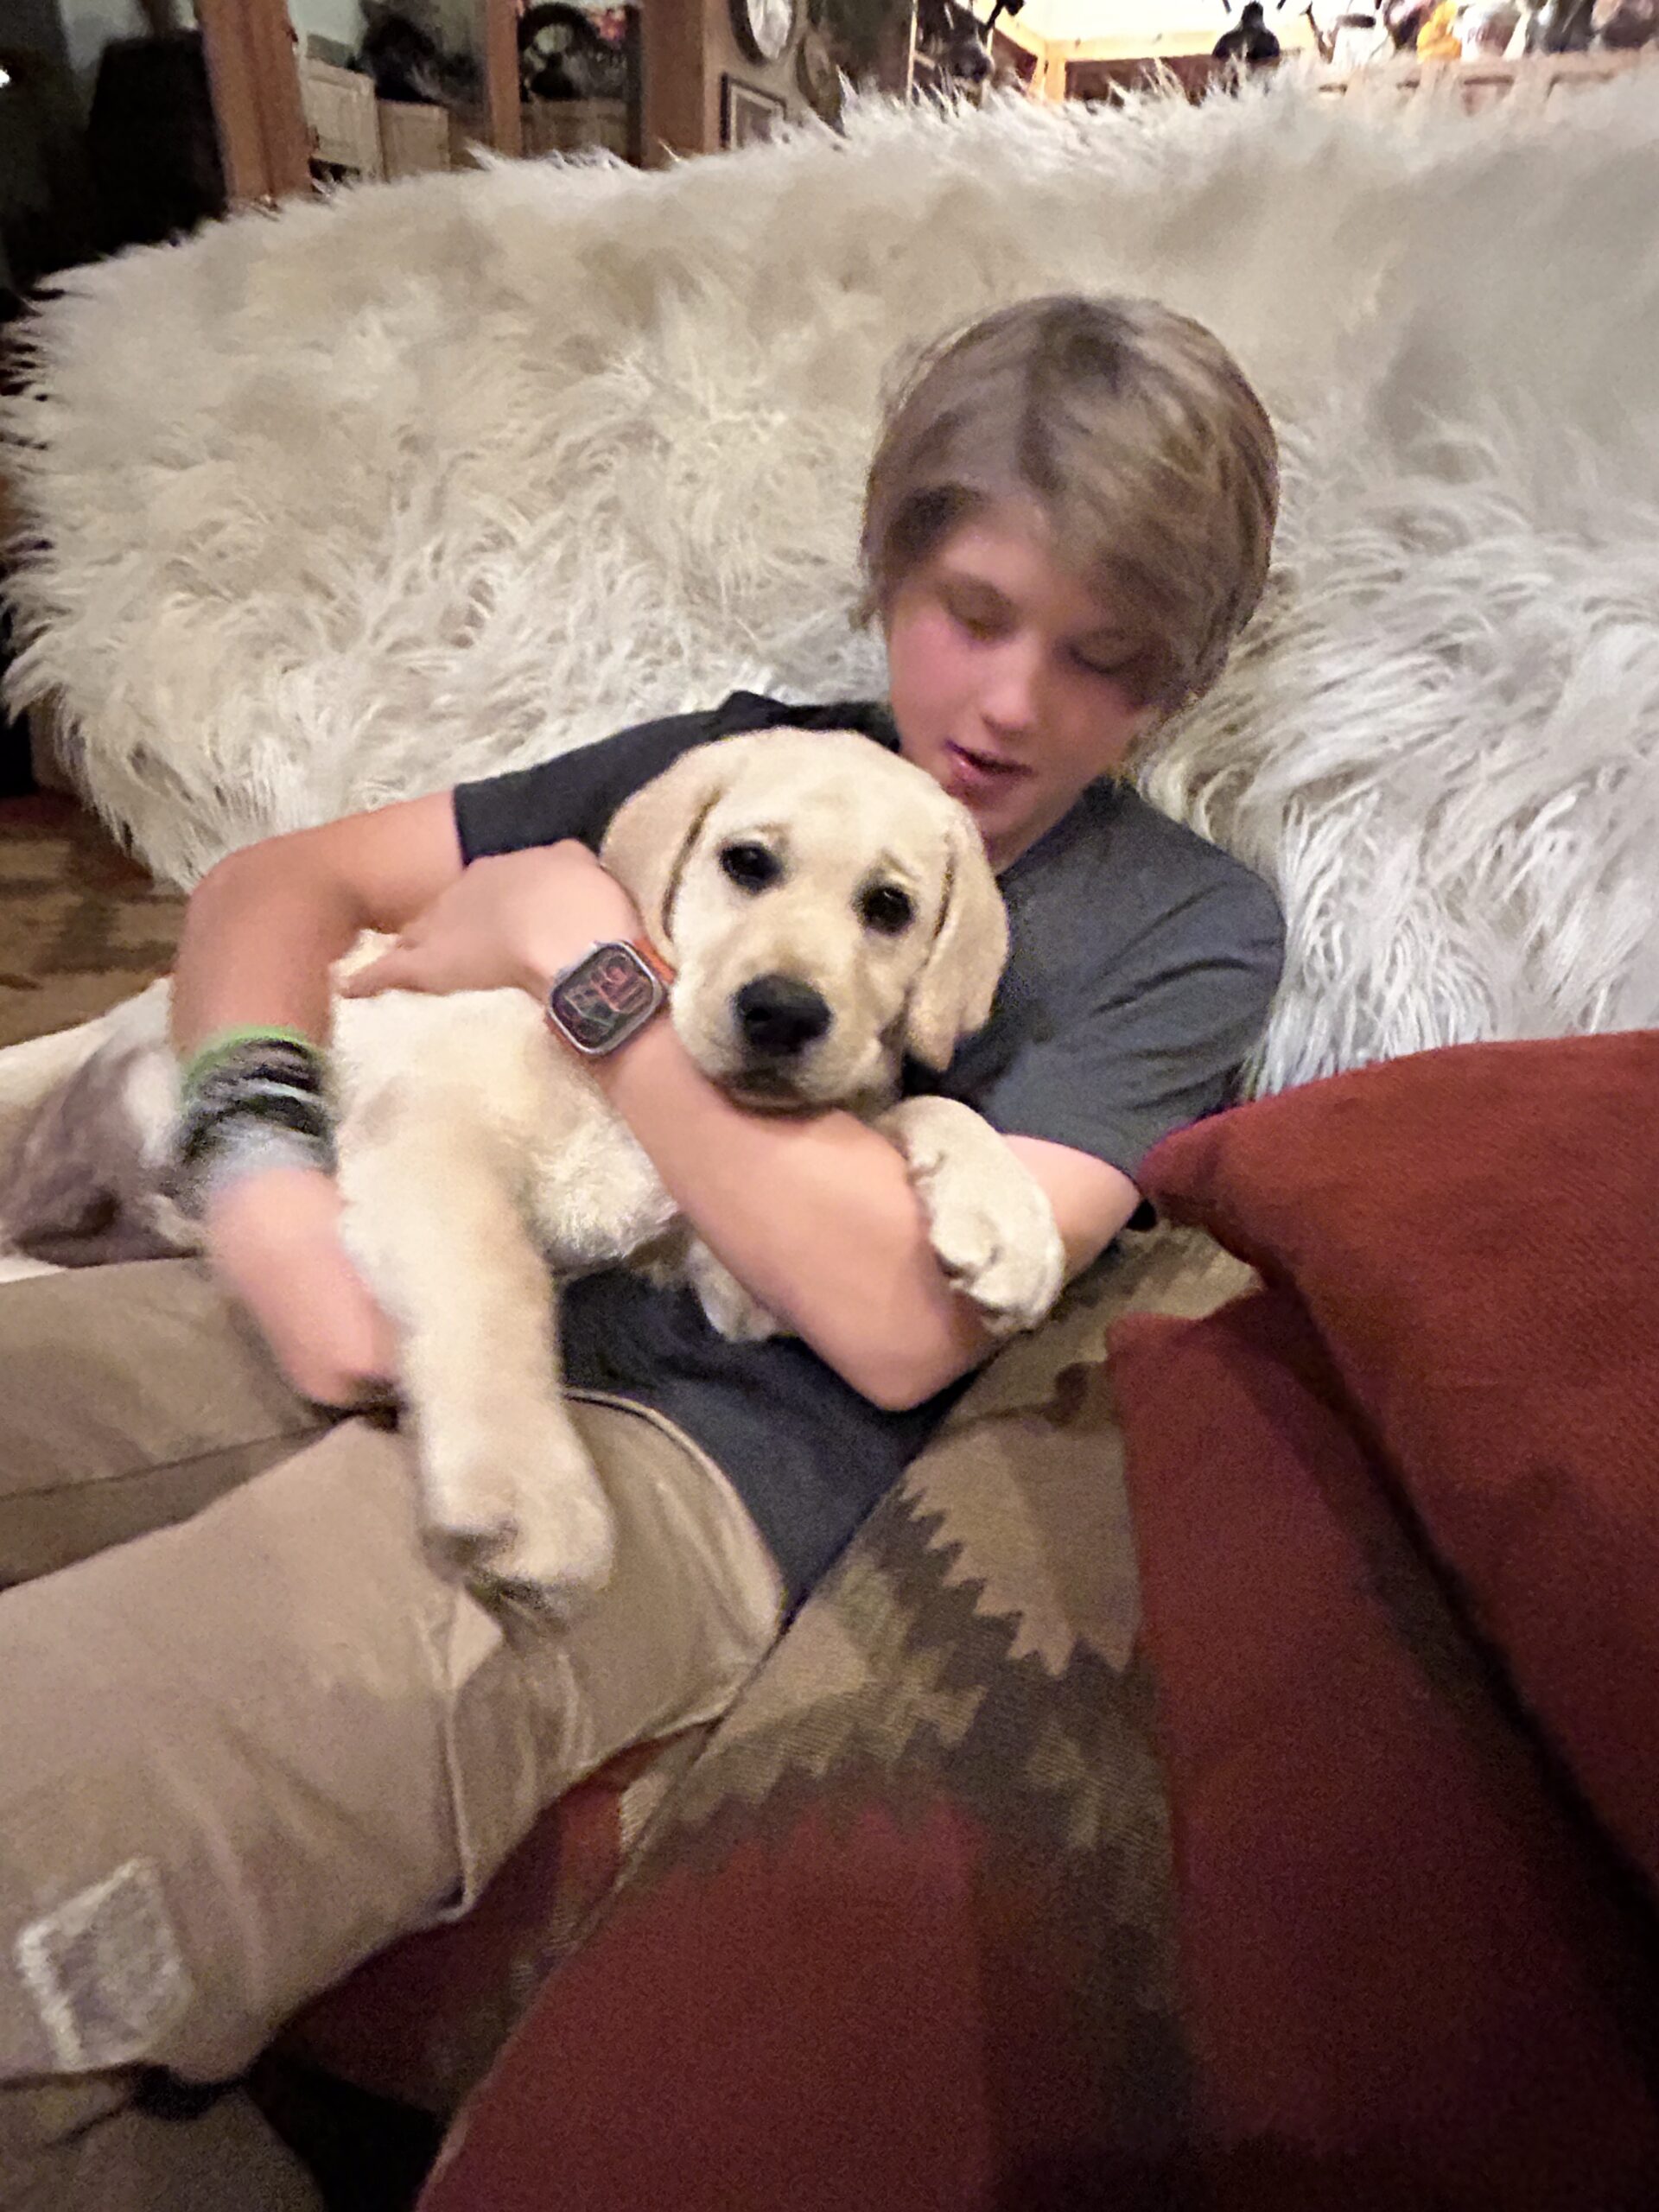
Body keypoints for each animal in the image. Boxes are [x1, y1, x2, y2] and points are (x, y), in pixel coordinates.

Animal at [0, 730, 1065, 1610]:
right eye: (747, 863)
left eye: (889, 908)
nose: (782, 1014)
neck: (621, 1087)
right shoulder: (432, 1135)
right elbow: (496, 1286)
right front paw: (530, 1492)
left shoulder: (719, 1261)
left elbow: (905, 1112)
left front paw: (1008, 1220)